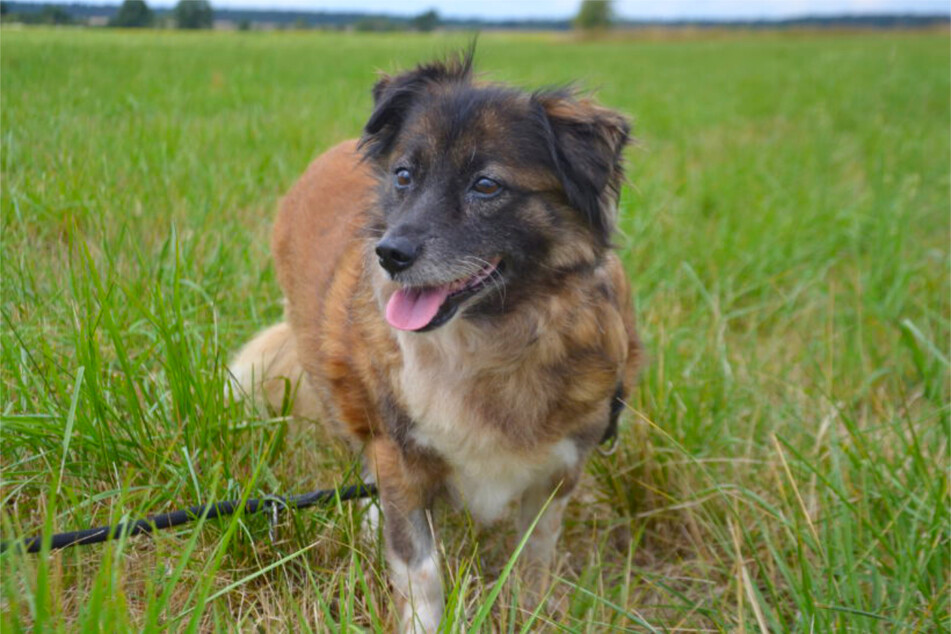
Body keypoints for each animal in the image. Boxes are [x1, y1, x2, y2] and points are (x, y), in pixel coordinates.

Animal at [231, 51, 644, 628]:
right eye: (404, 176)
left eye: (486, 186)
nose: (390, 254)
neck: (489, 339)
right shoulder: (403, 458)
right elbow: (420, 571)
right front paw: (425, 623)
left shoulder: (558, 471)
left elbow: (534, 555)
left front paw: (528, 612)